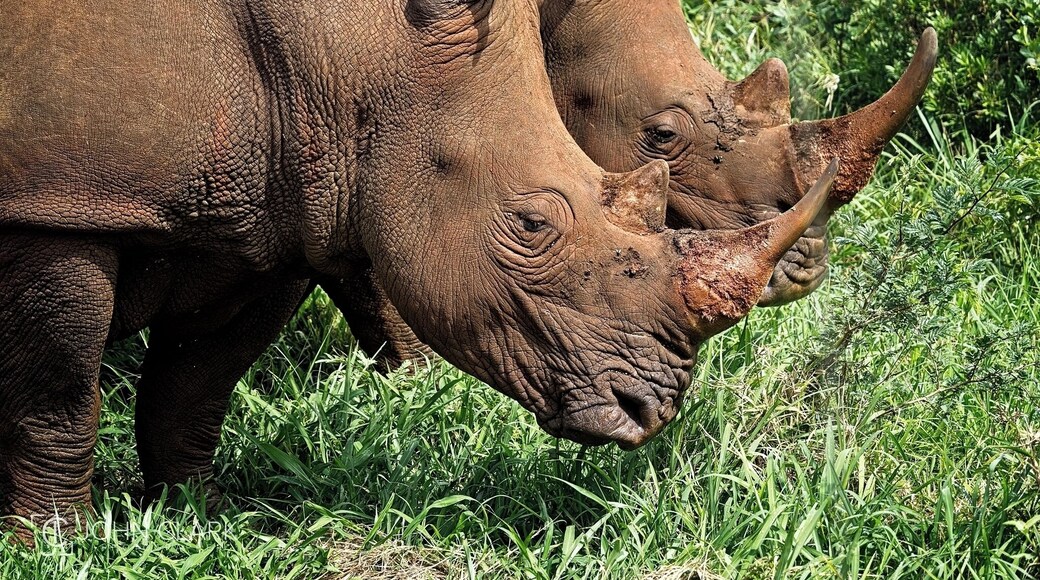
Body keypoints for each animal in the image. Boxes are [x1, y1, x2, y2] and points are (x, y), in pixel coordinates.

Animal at [0, 0, 833, 531]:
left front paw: (195, 516)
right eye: (531, 225)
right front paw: (58, 541)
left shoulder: (281, 206)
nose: (650, 410)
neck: (345, 50)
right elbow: (59, 398)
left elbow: (195, 386)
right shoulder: (54, 205)